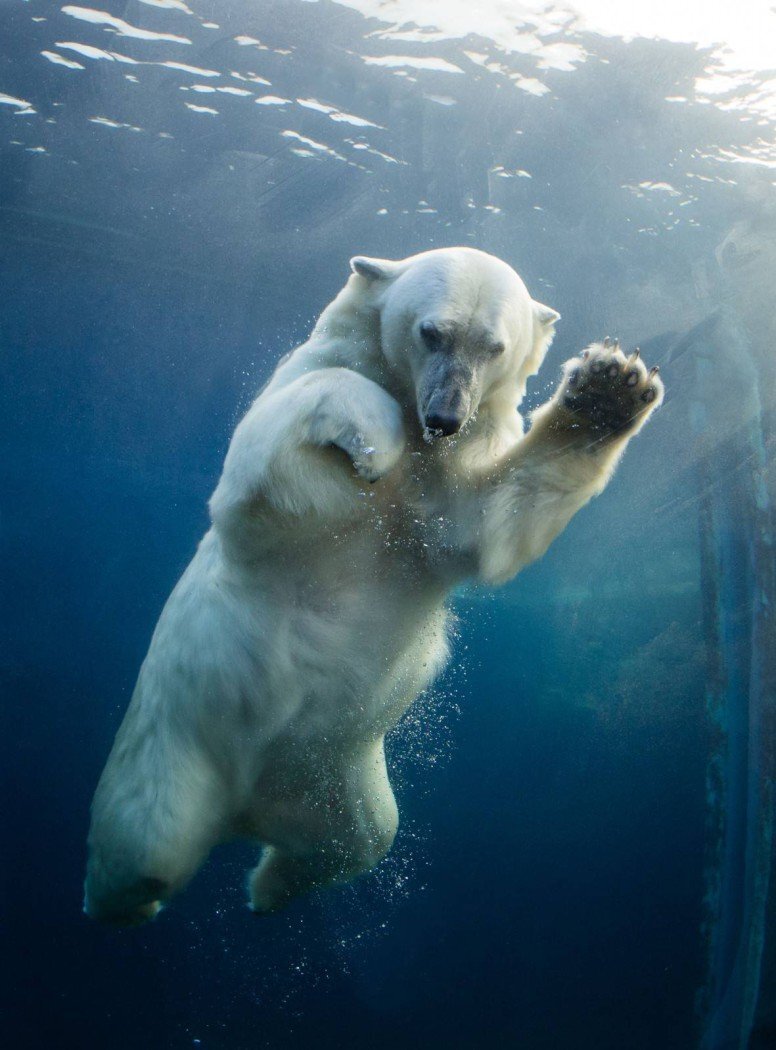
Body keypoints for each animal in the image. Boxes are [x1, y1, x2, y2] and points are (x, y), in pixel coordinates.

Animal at [86, 245, 667, 919]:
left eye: (494, 346)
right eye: (431, 332)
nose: (445, 417)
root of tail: (241, 807)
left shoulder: (439, 504)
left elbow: (486, 524)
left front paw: (610, 389)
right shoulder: (300, 416)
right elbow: (269, 463)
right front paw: (377, 445)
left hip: (338, 778)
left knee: (358, 841)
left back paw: (268, 887)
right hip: (176, 745)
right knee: (143, 848)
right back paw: (128, 898)